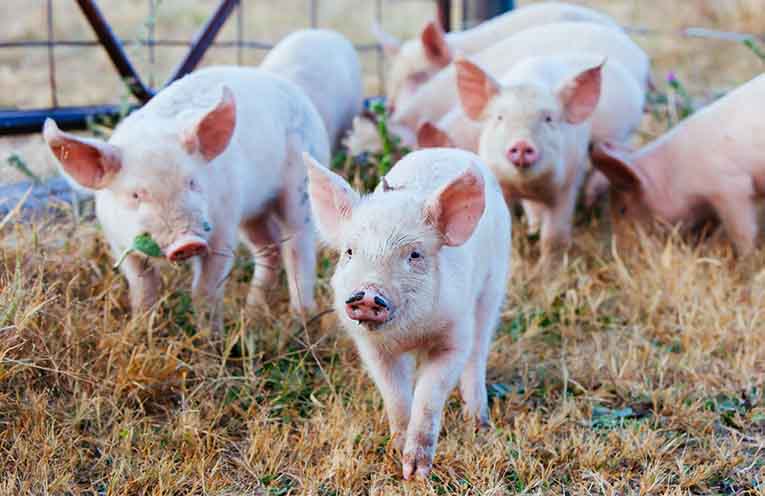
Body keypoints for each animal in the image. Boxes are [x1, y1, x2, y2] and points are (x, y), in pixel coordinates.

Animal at [43, 66, 330, 324]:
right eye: (136, 195)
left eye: (192, 182)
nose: (187, 242)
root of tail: (294, 91)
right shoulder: (120, 243)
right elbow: (143, 288)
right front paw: (140, 328)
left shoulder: (223, 226)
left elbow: (205, 290)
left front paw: (210, 339)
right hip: (252, 211)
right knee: (269, 248)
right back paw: (253, 314)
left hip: (300, 188)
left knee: (299, 247)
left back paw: (299, 320)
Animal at [304, 148, 511, 480]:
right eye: (349, 252)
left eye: (414, 255)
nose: (368, 294)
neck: (409, 333)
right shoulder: (373, 349)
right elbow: (396, 397)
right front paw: (398, 453)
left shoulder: (454, 337)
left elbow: (428, 397)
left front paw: (416, 473)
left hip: (493, 283)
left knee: (478, 353)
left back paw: (479, 423)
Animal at [454, 54, 604, 262]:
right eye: (500, 117)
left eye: (548, 119)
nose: (522, 144)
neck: (527, 186)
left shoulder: (566, 187)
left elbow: (554, 238)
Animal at [590, 73, 765, 256]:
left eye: (622, 210)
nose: (617, 253)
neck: (673, 175)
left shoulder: (730, 187)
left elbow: (742, 230)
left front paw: (746, 257)